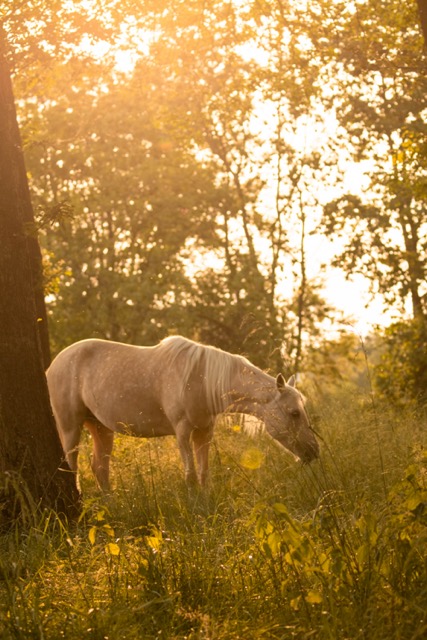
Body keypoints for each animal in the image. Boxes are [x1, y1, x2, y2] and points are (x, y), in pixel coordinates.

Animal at [46, 336, 319, 490]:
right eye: (294, 413)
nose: (314, 452)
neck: (202, 378)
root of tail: (52, 366)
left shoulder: (204, 432)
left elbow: (204, 474)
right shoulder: (182, 431)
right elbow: (190, 475)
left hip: (100, 428)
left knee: (100, 469)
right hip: (70, 428)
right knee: (72, 469)